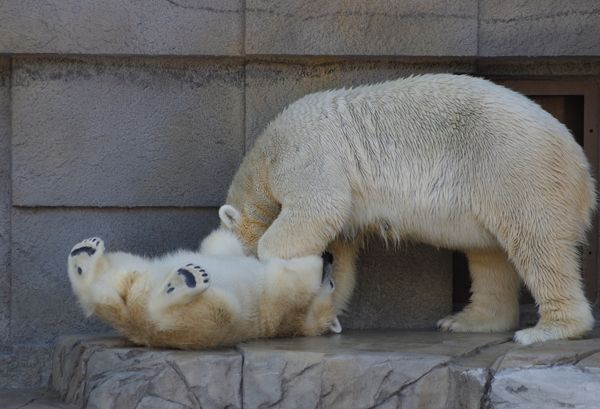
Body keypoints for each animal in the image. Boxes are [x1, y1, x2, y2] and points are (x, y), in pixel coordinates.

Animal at [67, 228, 340, 350]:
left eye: (332, 284)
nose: (330, 256)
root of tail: (134, 321)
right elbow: (223, 244)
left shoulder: (289, 307)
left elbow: (294, 280)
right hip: (138, 272)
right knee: (114, 273)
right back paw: (85, 254)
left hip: (205, 320)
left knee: (217, 312)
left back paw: (185, 280)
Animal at [214, 74, 596, 344]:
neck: (264, 158)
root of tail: (580, 164)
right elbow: (340, 257)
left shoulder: (304, 154)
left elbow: (318, 207)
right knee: (488, 254)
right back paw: (465, 321)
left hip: (515, 167)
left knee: (537, 243)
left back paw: (548, 329)